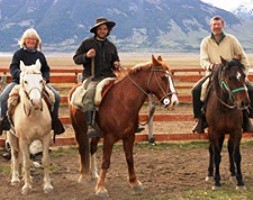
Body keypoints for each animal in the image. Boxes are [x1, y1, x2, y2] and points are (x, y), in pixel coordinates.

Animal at [7, 60, 52, 195]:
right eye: (25, 81)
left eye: (41, 80)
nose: (36, 102)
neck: (34, 116)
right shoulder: (23, 140)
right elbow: (26, 163)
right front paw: (26, 187)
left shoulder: (45, 137)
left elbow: (45, 160)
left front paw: (47, 186)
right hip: (12, 137)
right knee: (15, 155)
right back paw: (15, 179)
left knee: (21, 156)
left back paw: (28, 177)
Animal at [67, 55, 178, 196]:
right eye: (163, 77)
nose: (174, 101)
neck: (123, 102)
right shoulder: (109, 138)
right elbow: (106, 161)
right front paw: (101, 188)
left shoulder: (129, 136)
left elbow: (130, 158)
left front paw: (135, 182)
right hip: (79, 131)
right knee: (82, 149)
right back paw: (84, 176)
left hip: (96, 134)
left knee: (92, 148)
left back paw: (94, 175)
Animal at [206, 56, 249, 191]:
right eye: (230, 78)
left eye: (244, 75)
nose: (244, 102)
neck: (224, 108)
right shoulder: (214, 132)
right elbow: (216, 155)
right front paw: (217, 181)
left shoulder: (237, 131)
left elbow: (236, 155)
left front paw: (240, 182)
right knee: (212, 150)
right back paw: (210, 174)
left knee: (230, 149)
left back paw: (233, 173)